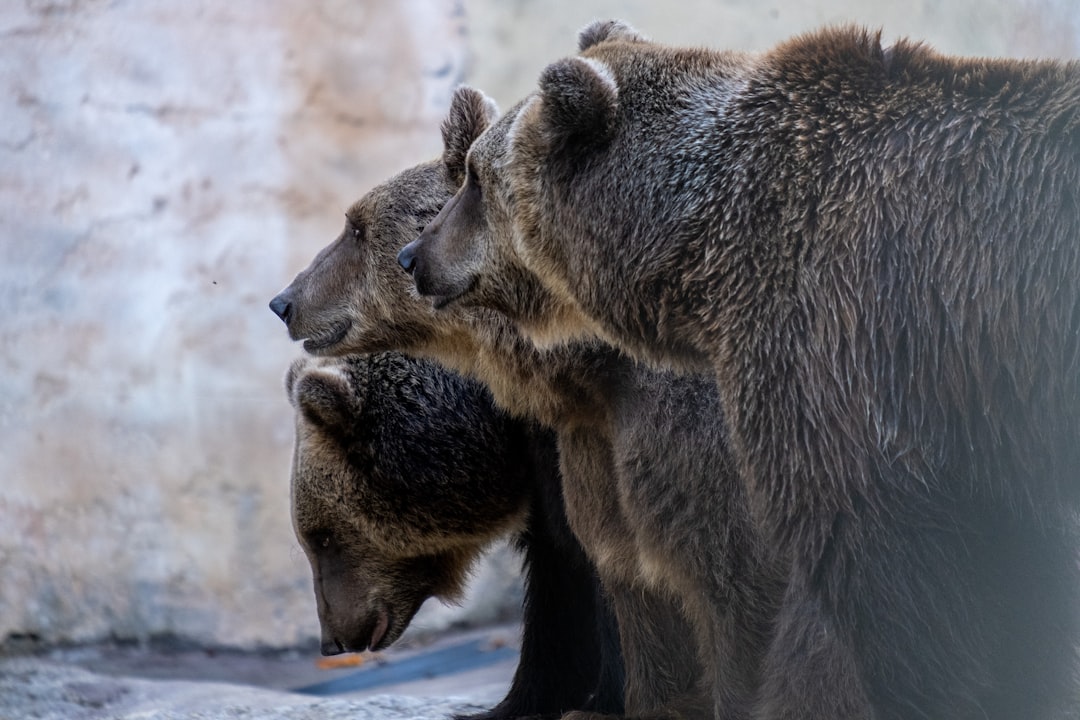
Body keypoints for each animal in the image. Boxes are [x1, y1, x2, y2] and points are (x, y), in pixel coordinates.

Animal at [286, 351, 624, 720]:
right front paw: (514, 705)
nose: (331, 642)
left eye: (323, 538)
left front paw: (603, 704)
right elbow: (560, 574)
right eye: (311, 539)